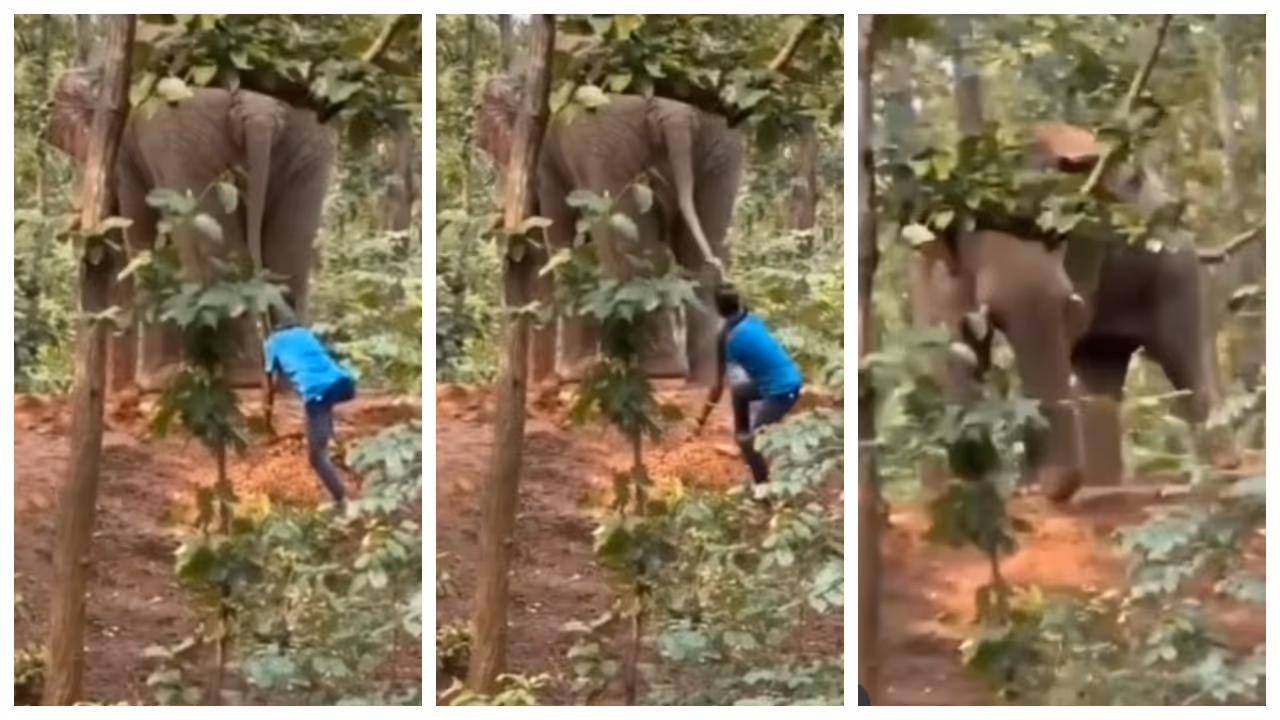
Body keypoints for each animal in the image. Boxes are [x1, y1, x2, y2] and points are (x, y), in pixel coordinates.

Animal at [49, 67, 336, 391]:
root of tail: (260, 105)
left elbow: (140, 231)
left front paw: (152, 382)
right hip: (309, 138)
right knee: (289, 252)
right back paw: (290, 383)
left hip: (187, 134)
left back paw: (237, 379)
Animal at [474, 73, 746, 385]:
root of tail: (676, 110)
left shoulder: (547, 159)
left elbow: (561, 234)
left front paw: (572, 374)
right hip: (721, 141)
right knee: (704, 248)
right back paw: (703, 378)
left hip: (610, 143)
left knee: (626, 249)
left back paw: (654, 370)